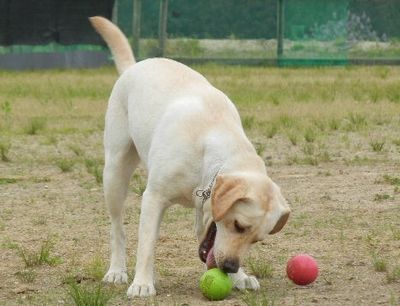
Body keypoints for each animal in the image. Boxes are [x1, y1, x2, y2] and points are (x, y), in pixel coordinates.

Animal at [90, 17, 290, 298]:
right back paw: (117, 270)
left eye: (257, 239)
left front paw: (241, 277)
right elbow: (147, 245)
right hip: (115, 173)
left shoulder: (205, 206)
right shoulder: (154, 198)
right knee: (117, 228)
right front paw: (142, 283)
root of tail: (135, 66)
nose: (230, 267)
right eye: (239, 225)